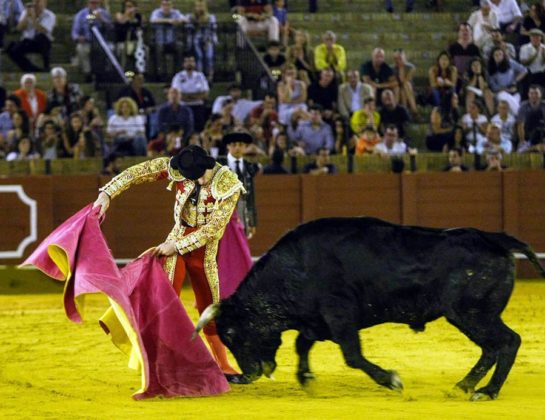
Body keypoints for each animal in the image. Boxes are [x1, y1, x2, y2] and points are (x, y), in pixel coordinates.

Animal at [194, 217, 545, 400]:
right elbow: (302, 344)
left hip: (471, 313)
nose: (245, 375)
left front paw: (391, 379)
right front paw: (306, 377)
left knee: (507, 342)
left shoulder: (339, 316)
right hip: (472, 315)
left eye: (232, 332)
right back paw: (464, 385)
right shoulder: (316, 321)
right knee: (491, 348)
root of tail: (494, 239)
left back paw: (486, 391)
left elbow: (351, 355)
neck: (294, 267)